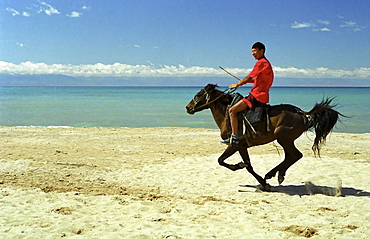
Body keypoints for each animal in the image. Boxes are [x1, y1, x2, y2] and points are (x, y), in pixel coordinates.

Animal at [186, 84, 342, 192]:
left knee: (295, 155)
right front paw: (261, 180)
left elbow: (236, 164)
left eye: (199, 94)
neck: (227, 113)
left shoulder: (237, 145)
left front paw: (258, 180)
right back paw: (276, 174)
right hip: (285, 140)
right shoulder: (241, 146)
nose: (188, 107)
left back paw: (274, 174)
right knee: (291, 156)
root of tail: (303, 114)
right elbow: (236, 163)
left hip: (283, 138)